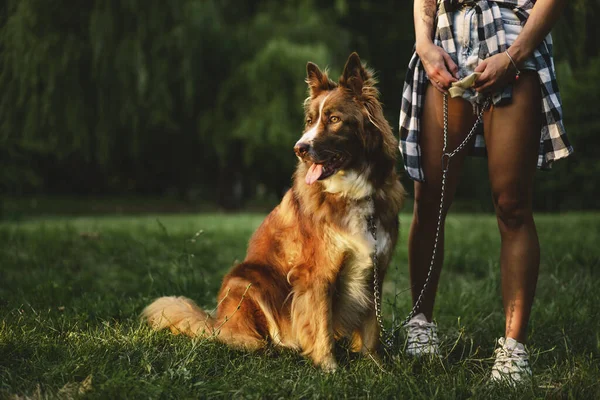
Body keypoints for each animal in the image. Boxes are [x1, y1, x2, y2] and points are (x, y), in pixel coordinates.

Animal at [142, 53, 404, 372]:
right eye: (309, 121)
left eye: (334, 119)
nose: (299, 148)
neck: (351, 191)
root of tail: (216, 322)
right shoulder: (317, 273)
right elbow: (320, 323)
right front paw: (328, 367)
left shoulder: (376, 269)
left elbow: (371, 328)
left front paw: (376, 367)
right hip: (246, 281)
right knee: (242, 337)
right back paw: (272, 347)